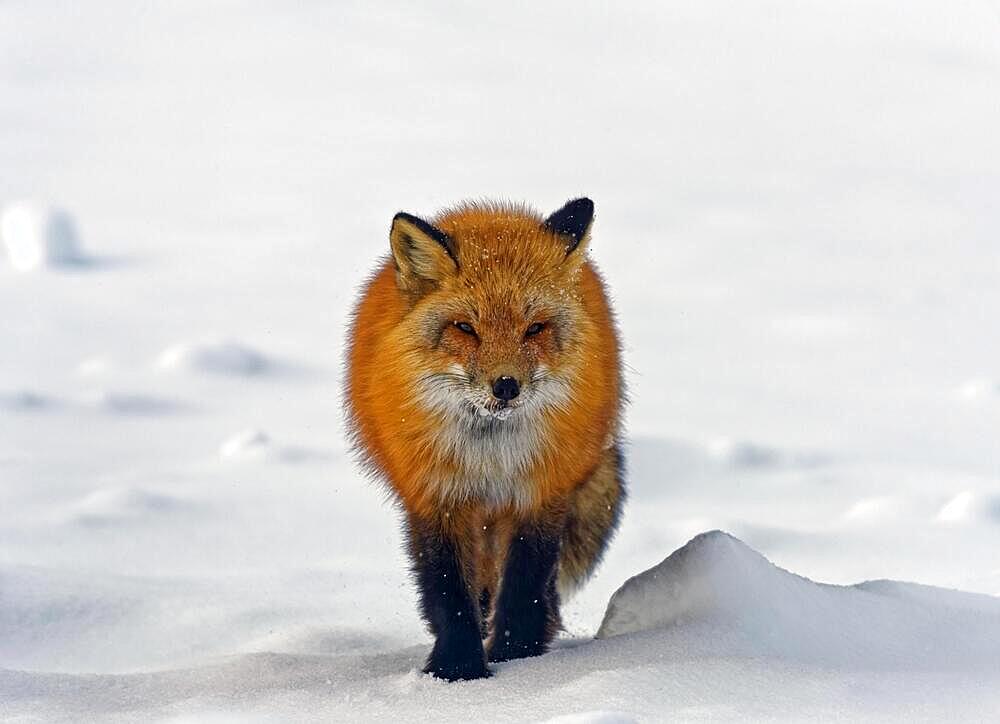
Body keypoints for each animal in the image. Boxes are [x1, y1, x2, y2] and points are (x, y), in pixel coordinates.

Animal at [348, 197, 620, 680]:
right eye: (465, 328)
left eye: (534, 328)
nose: (506, 386)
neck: (490, 455)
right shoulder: (437, 496)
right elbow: (448, 588)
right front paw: (458, 669)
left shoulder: (540, 494)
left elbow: (525, 583)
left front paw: (517, 654)